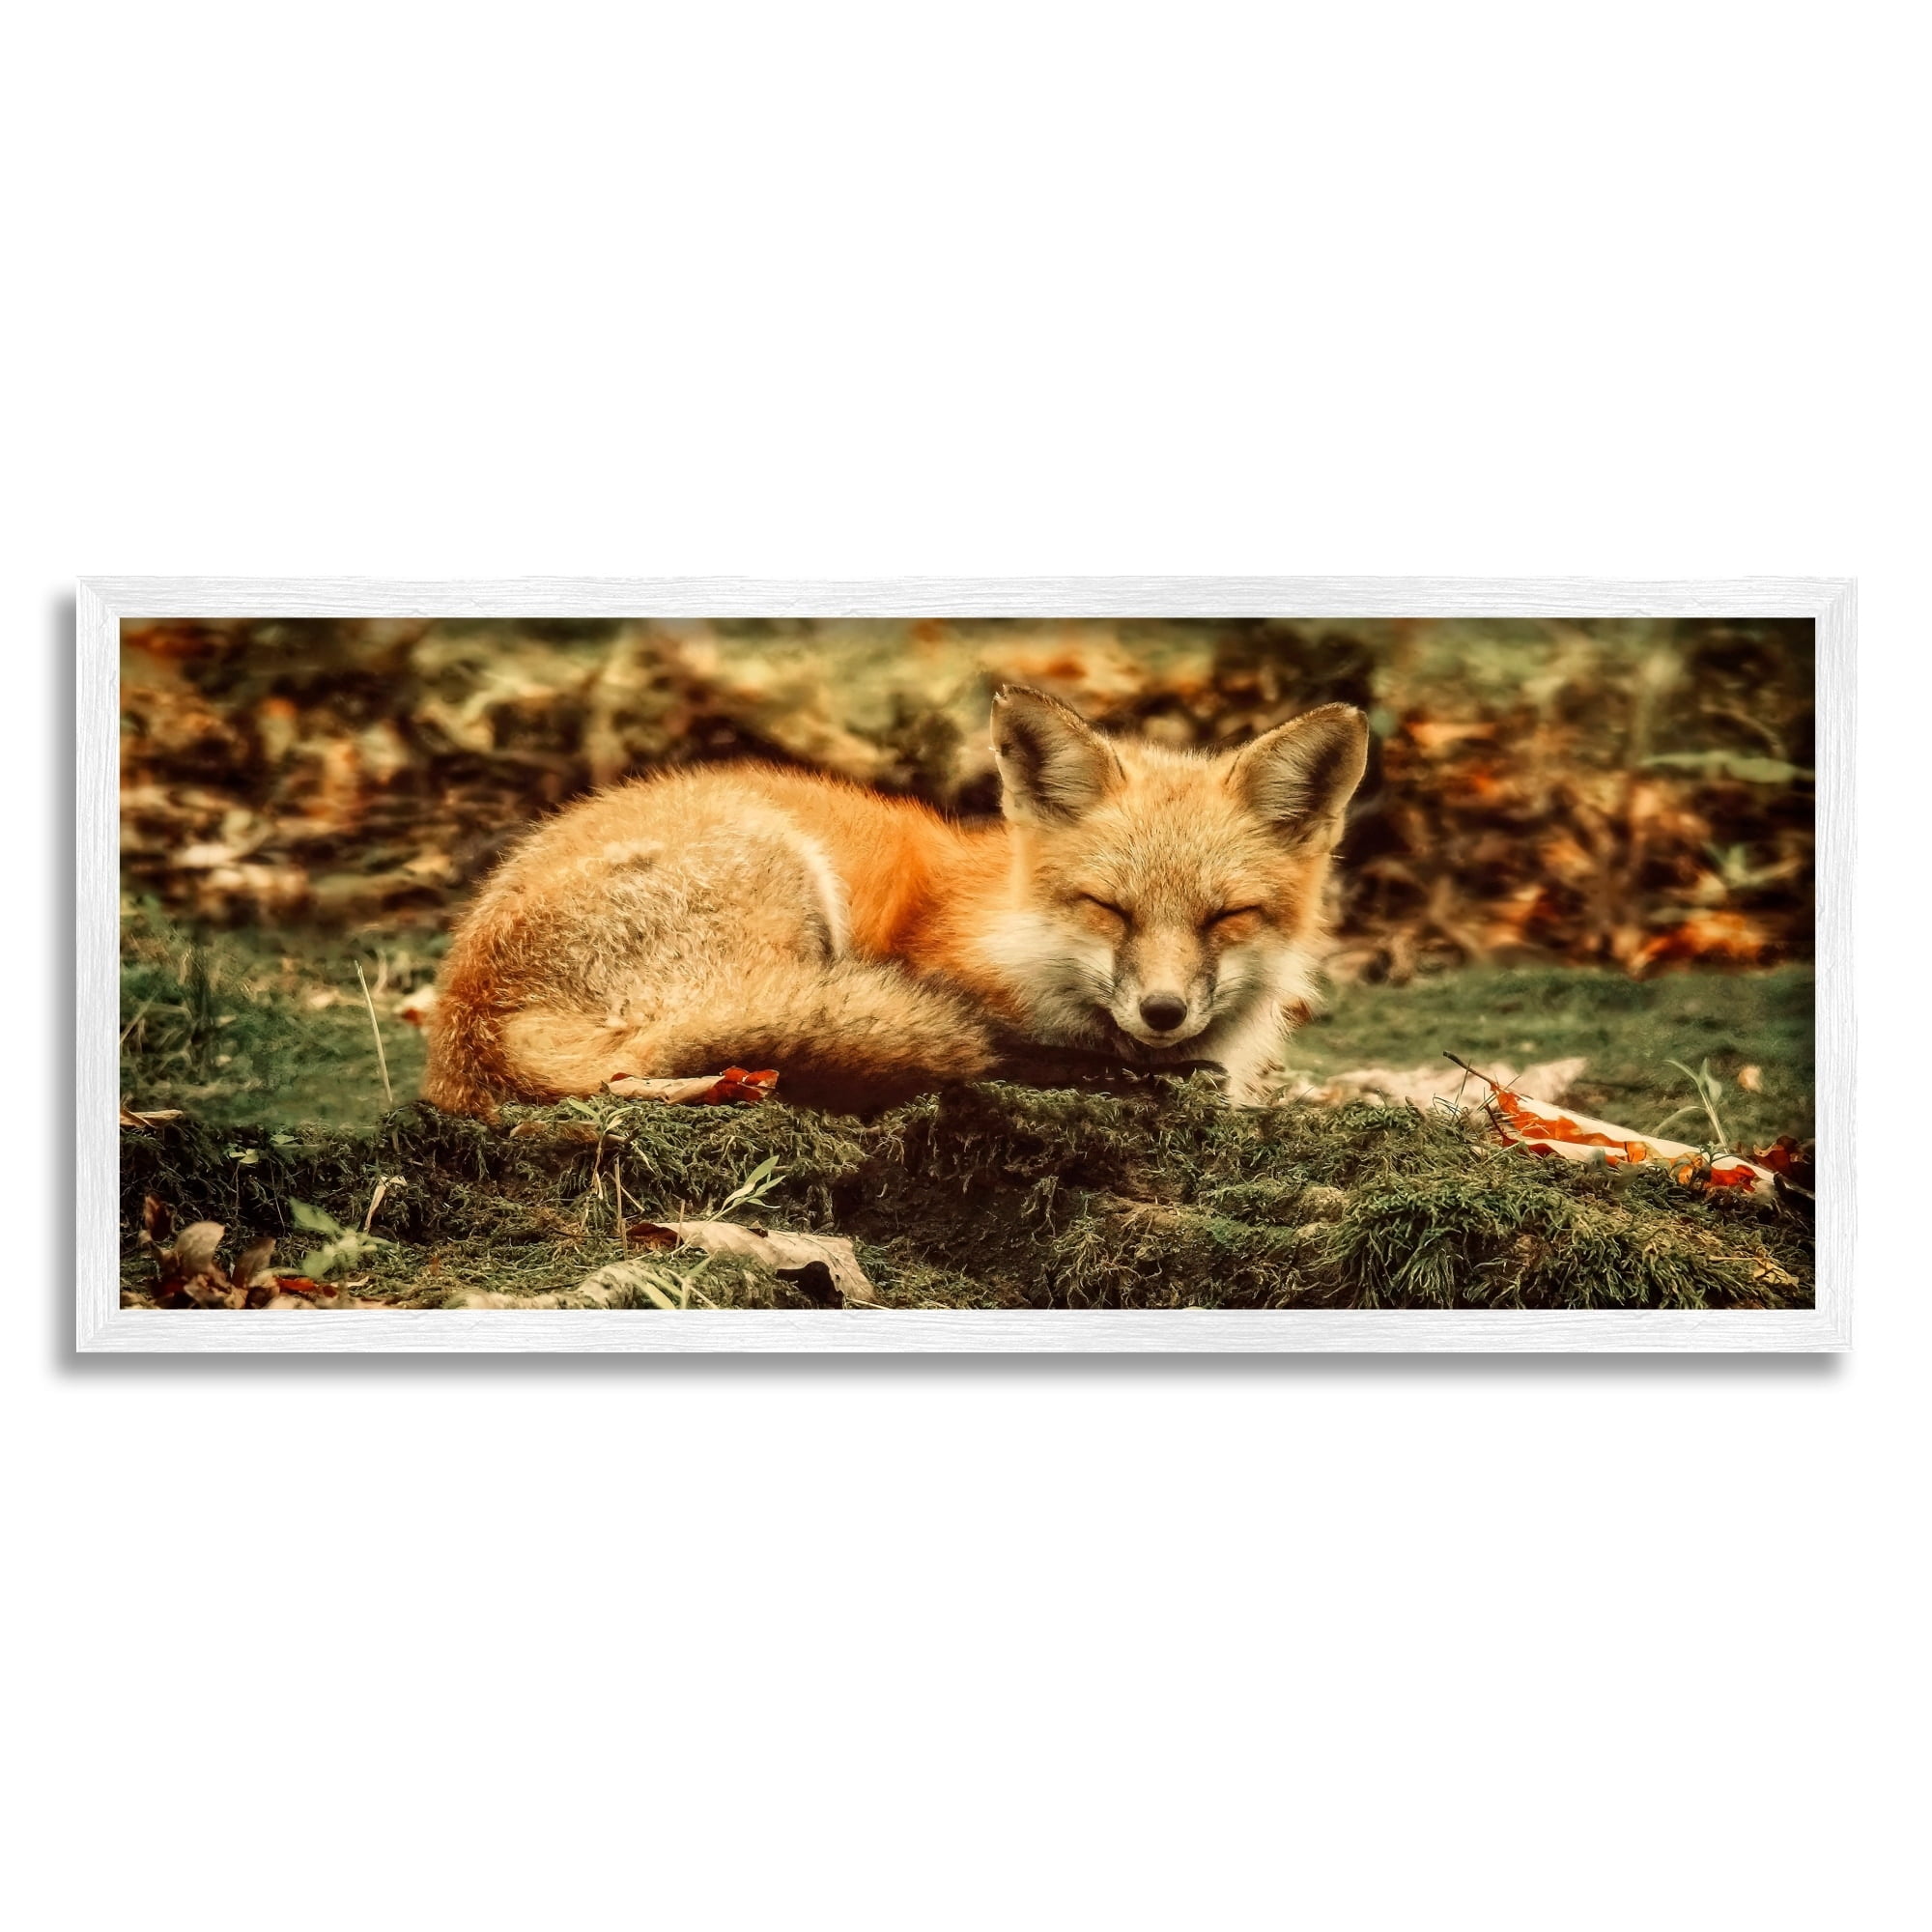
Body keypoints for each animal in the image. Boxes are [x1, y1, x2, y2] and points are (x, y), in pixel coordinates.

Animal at [421, 686, 1369, 1117]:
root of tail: (467, 1016)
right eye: (1109, 907)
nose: (1164, 1013)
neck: (1017, 938)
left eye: (1226, 916)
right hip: (782, 878)